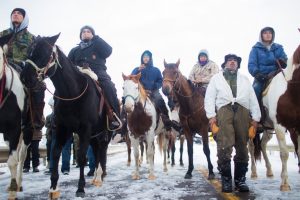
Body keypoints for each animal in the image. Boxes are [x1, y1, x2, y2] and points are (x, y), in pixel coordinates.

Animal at [20, 33, 112, 198]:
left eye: (44, 53)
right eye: (29, 52)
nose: (24, 78)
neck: (72, 93)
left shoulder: (85, 129)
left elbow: (81, 157)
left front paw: (80, 188)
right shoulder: (63, 128)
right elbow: (55, 153)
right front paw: (53, 187)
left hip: (103, 132)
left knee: (102, 150)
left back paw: (100, 175)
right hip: (94, 134)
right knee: (97, 150)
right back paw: (96, 176)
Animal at [247, 46, 298, 191]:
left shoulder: (296, 127)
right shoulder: (280, 126)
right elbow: (284, 153)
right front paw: (285, 183)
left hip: (268, 129)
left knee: (263, 144)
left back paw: (269, 171)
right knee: (251, 147)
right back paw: (254, 172)